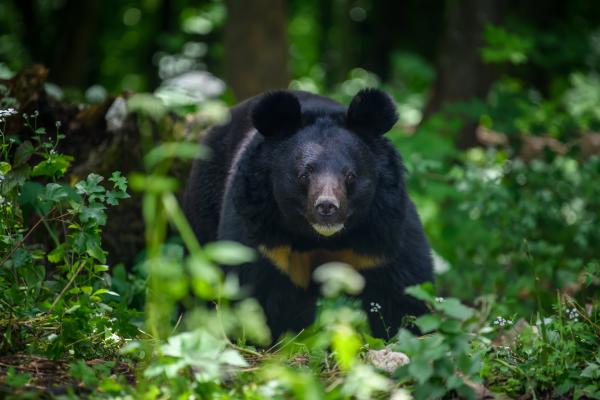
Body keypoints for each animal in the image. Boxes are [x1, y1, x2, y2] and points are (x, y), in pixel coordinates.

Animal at [185, 89, 434, 340]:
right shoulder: (261, 233)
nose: (327, 207)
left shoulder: (383, 236)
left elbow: (404, 291)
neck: (321, 238)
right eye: (304, 175)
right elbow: (249, 290)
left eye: (350, 176)